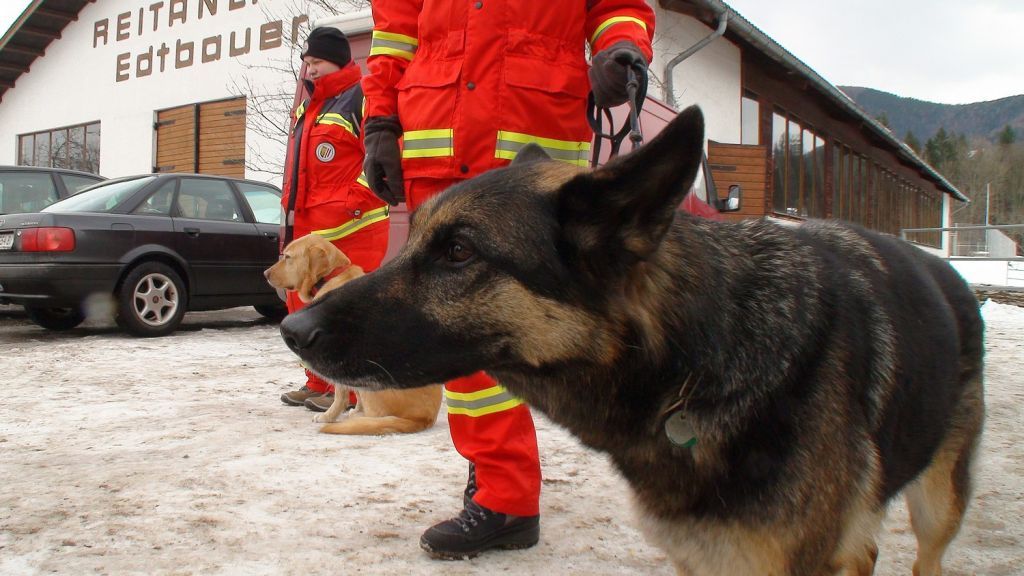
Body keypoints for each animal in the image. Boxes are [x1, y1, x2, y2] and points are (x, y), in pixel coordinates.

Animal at [264, 233, 442, 435]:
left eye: (288, 257)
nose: (265, 274)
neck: (332, 276)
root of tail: (423, 418)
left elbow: (340, 395)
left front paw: (329, 416)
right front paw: (356, 409)